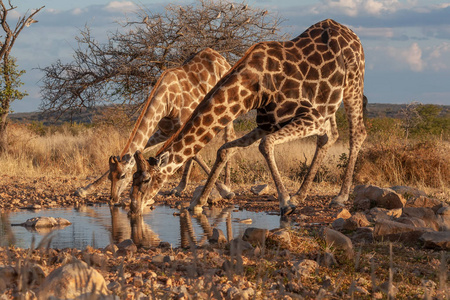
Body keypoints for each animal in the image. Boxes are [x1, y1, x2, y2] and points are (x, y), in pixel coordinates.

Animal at [74, 48, 236, 205]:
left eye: (123, 175)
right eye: (111, 177)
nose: (113, 198)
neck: (168, 101)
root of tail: (219, 56)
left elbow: (195, 155)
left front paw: (224, 190)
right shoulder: (165, 131)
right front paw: (84, 190)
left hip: (226, 110)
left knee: (229, 139)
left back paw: (227, 185)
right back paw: (180, 187)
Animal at [130, 18, 366, 214]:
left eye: (146, 180)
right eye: (132, 179)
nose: (133, 207)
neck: (255, 88)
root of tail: (351, 33)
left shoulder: (311, 117)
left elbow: (265, 145)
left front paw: (285, 202)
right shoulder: (267, 123)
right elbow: (225, 150)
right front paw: (199, 202)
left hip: (353, 84)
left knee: (357, 133)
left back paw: (340, 197)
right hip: (329, 103)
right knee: (329, 136)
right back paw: (301, 194)